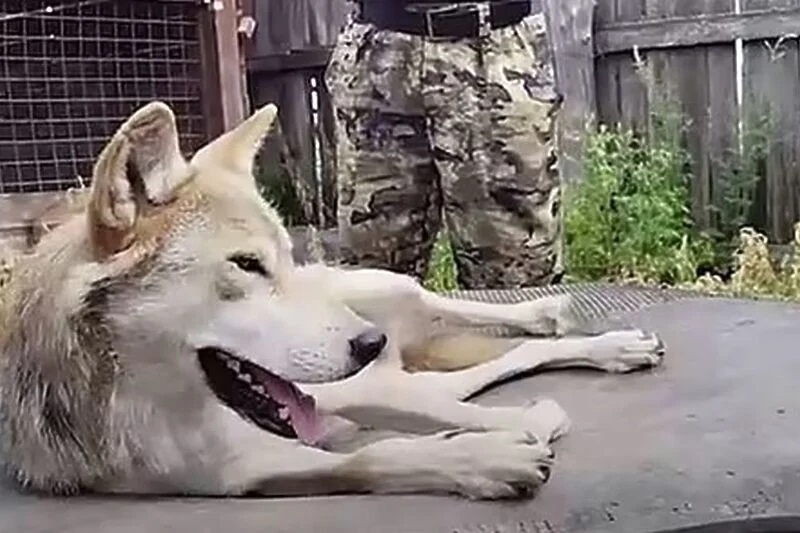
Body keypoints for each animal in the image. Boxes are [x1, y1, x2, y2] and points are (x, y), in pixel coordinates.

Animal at [0, 101, 664, 500]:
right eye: (246, 265)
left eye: (281, 259)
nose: (369, 342)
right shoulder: (240, 472)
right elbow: (376, 458)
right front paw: (488, 456)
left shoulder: (347, 392)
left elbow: (428, 427)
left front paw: (516, 429)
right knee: (496, 365)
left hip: (385, 289)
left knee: (476, 323)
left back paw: (577, 329)